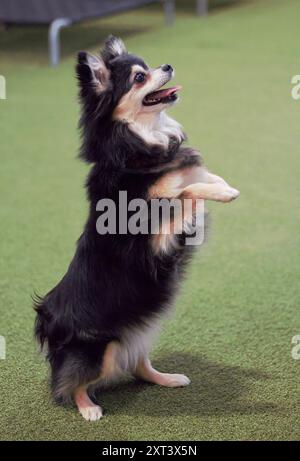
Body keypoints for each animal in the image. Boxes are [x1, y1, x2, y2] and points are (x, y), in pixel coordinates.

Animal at [34, 34, 240, 418]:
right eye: (140, 78)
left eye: (149, 66)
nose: (168, 65)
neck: (139, 142)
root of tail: (49, 318)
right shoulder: (157, 232)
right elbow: (188, 190)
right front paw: (226, 193)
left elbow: (200, 177)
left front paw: (222, 185)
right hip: (102, 349)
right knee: (73, 384)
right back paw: (88, 408)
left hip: (141, 329)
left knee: (139, 367)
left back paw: (168, 379)